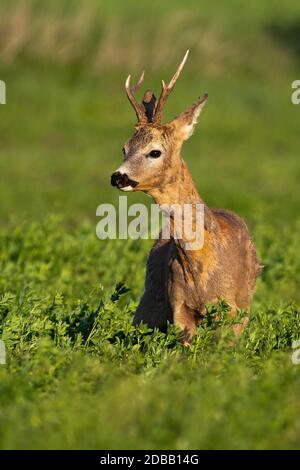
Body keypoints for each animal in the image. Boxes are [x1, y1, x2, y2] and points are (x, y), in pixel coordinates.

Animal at [110, 51, 260, 344]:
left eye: (154, 152)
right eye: (124, 148)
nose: (118, 177)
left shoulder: (233, 309)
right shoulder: (178, 307)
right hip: (149, 302)